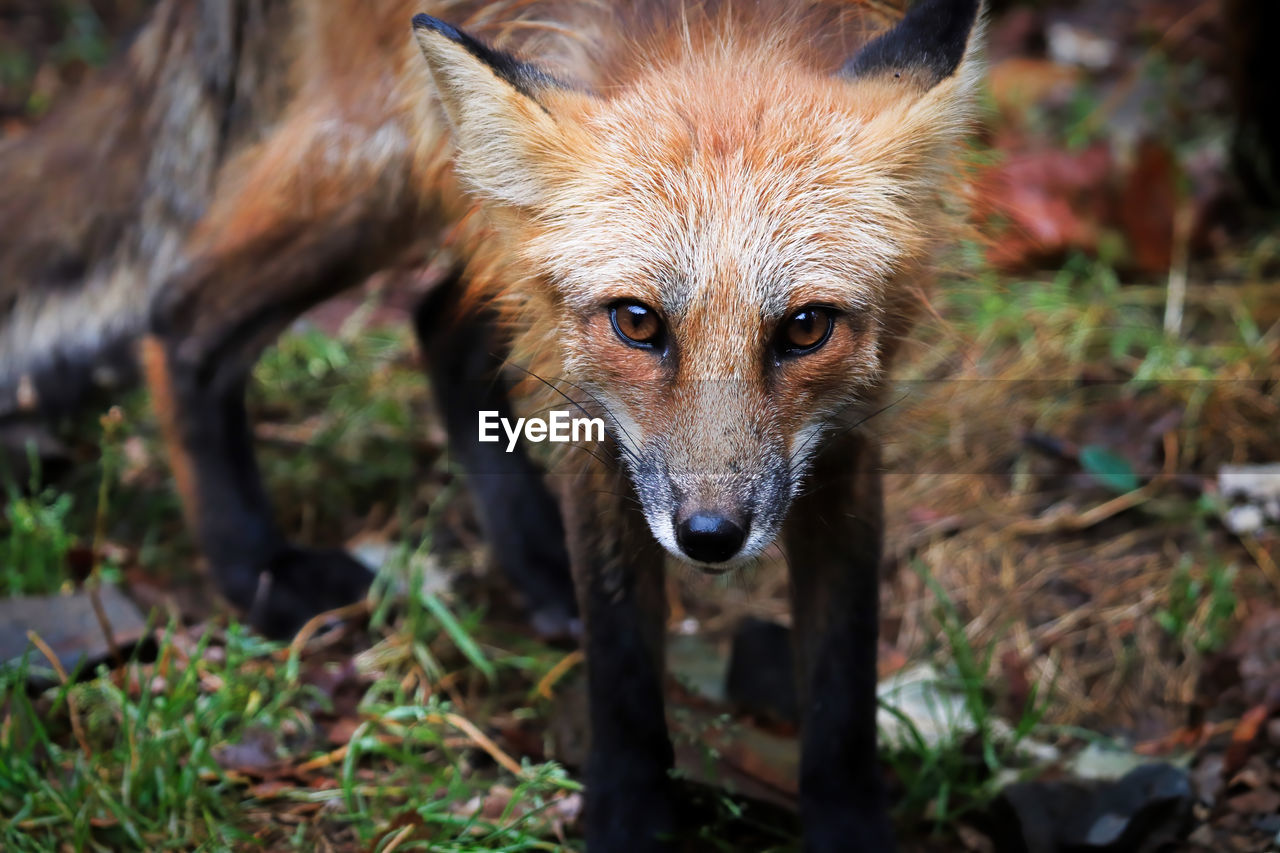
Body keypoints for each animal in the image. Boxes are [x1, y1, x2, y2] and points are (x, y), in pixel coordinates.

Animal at [0, 0, 983, 845]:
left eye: (805, 328)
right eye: (638, 322)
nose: (710, 535)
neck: (720, 31)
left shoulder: (846, 432)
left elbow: (842, 680)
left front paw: (849, 829)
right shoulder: (598, 413)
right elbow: (623, 663)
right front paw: (629, 822)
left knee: (438, 321)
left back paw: (531, 561)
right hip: (381, 158)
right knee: (180, 318)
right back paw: (257, 569)